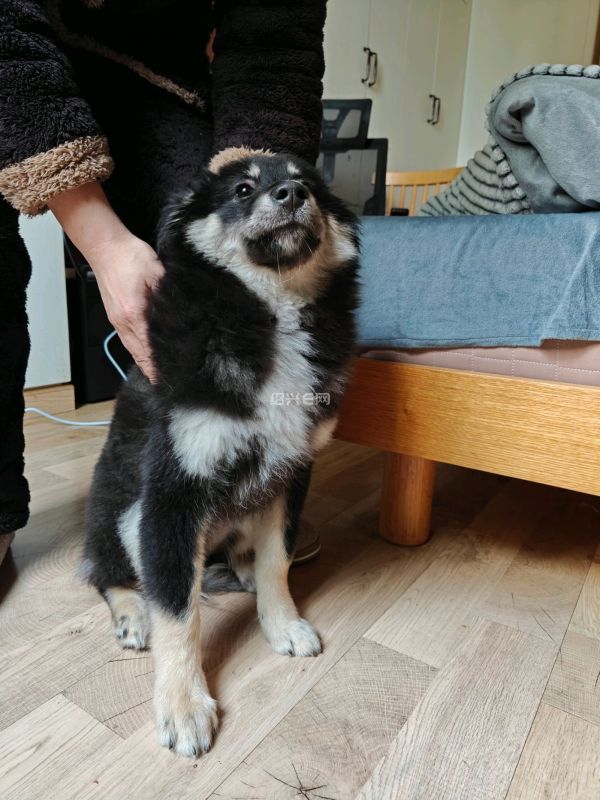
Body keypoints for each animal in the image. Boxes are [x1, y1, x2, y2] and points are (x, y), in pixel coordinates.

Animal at [82, 150, 359, 758]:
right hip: (121, 515)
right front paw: (183, 705)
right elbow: (176, 609)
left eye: (307, 183)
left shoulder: (291, 471)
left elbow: (279, 558)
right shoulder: (172, 492)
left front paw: (282, 624)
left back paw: (241, 568)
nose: (291, 195)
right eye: (242, 190)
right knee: (107, 572)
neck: (272, 312)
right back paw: (133, 614)